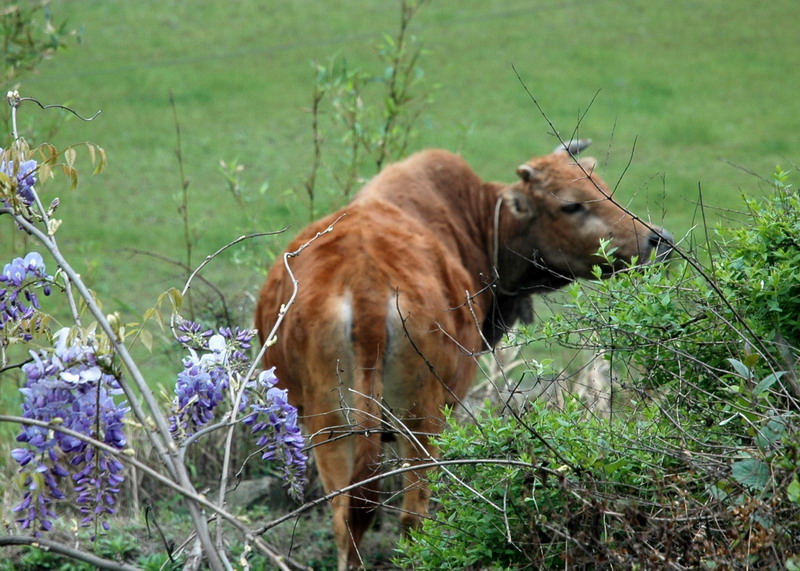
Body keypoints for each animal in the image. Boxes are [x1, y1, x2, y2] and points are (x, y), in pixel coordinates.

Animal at [256, 140, 668, 568]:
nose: (659, 240)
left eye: (602, 187)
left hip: (331, 425)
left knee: (346, 519)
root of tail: (367, 285)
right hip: (419, 418)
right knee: (412, 518)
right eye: (570, 204)